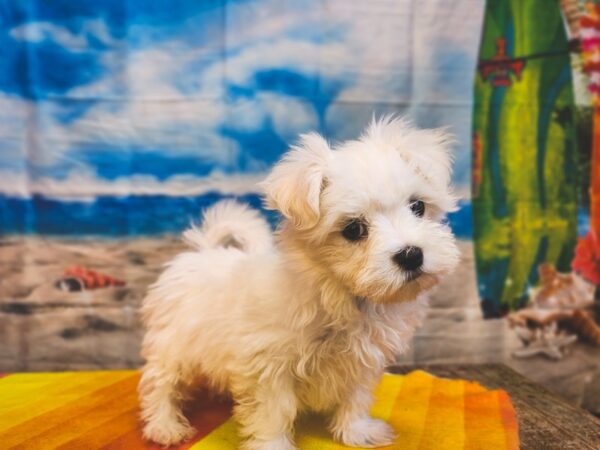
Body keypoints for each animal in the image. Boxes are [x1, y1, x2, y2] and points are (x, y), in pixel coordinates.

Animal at [139, 117, 460, 450]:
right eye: (353, 229)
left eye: (418, 206)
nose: (411, 255)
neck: (340, 294)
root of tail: (203, 252)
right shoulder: (268, 364)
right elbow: (273, 411)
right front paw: (272, 445)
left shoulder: (363, 360)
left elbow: (355, 398)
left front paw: (357, 432)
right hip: (173, 344)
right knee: (159, 383)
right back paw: (165, 425)